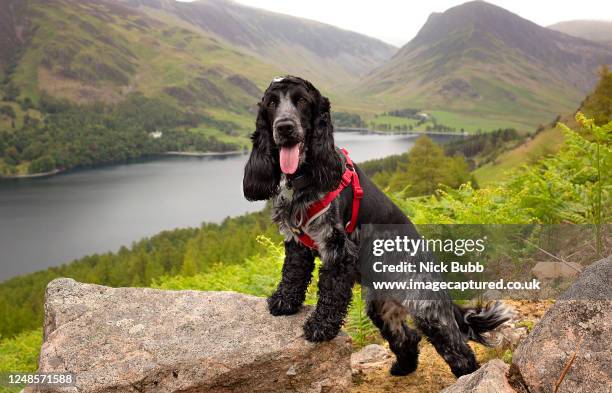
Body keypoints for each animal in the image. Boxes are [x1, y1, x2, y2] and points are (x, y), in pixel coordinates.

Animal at [241, 76, 510, 376]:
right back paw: (403, 368)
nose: (284, 127)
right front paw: (284, 302)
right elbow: (292, 274)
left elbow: (330, 293)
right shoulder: (297, 242)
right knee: (406, 337)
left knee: (458, 348)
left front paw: (320, 327)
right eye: (271, 103)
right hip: (381, 307)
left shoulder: (338, 249)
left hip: (427, 308)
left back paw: (469, 377)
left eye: (301, 100)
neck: (304, 177)